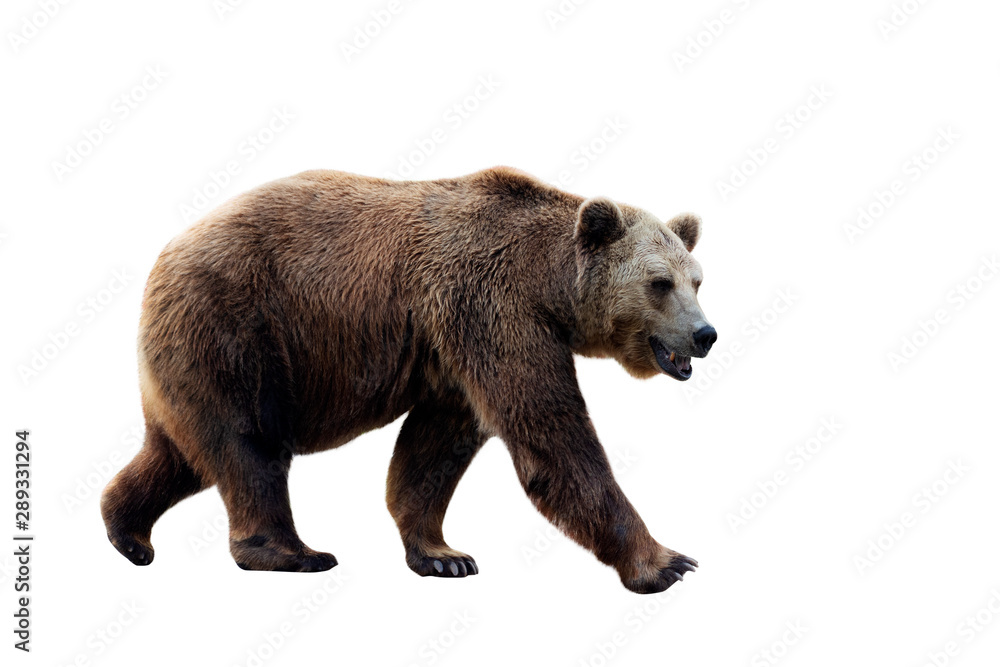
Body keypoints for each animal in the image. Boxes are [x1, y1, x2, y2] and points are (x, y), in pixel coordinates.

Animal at [100, 166, 716, 593]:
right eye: (659, 283)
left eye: (697, 280)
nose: (705, 334)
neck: (549, 286)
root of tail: (164, 254)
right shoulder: (494, 308)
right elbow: (552, 436)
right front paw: (668, 561)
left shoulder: (456, 350)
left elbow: (433, 449)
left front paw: (445, 555)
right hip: (236, 329)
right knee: (249, 446)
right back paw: (292, 553)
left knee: (179, 453)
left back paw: (128, 532)